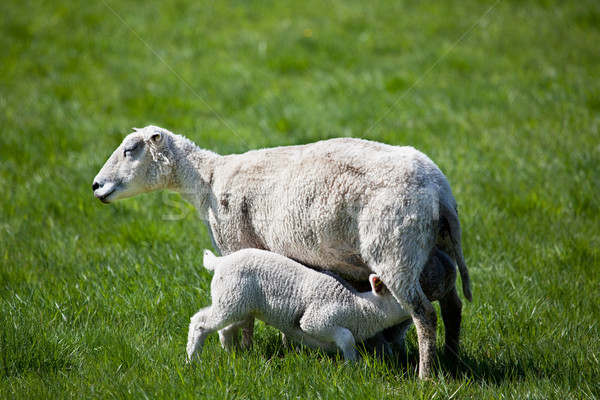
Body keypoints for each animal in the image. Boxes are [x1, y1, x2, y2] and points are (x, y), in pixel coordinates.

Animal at [186, 248, 412, 360]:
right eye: (400, 298)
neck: (360, 307)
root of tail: (220, 261)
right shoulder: (317, 320)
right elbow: (346, 338)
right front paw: (352, 366)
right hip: (231, 298)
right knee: (200, 322)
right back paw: (192, 360)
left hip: (241, 305)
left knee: (226, 328)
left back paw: (232, 355)